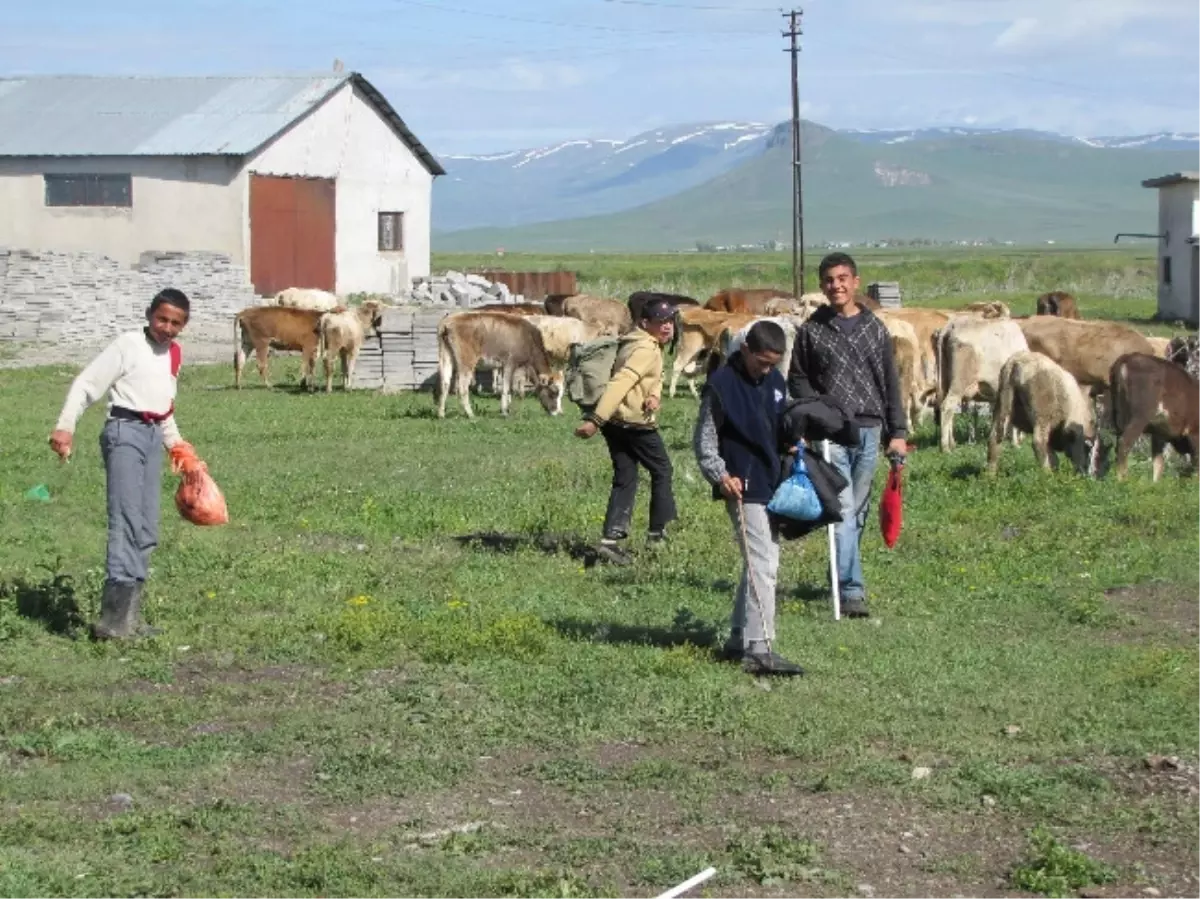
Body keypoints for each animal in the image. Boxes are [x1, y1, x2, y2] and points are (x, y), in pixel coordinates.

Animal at [1108, 350, 1195, 480]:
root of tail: (1126, 359)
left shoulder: (1158, 432)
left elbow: (1158, 460)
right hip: (1139, 416)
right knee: (1124, 443)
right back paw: (1123, 479)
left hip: (1118, 415)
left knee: (1118, 443)